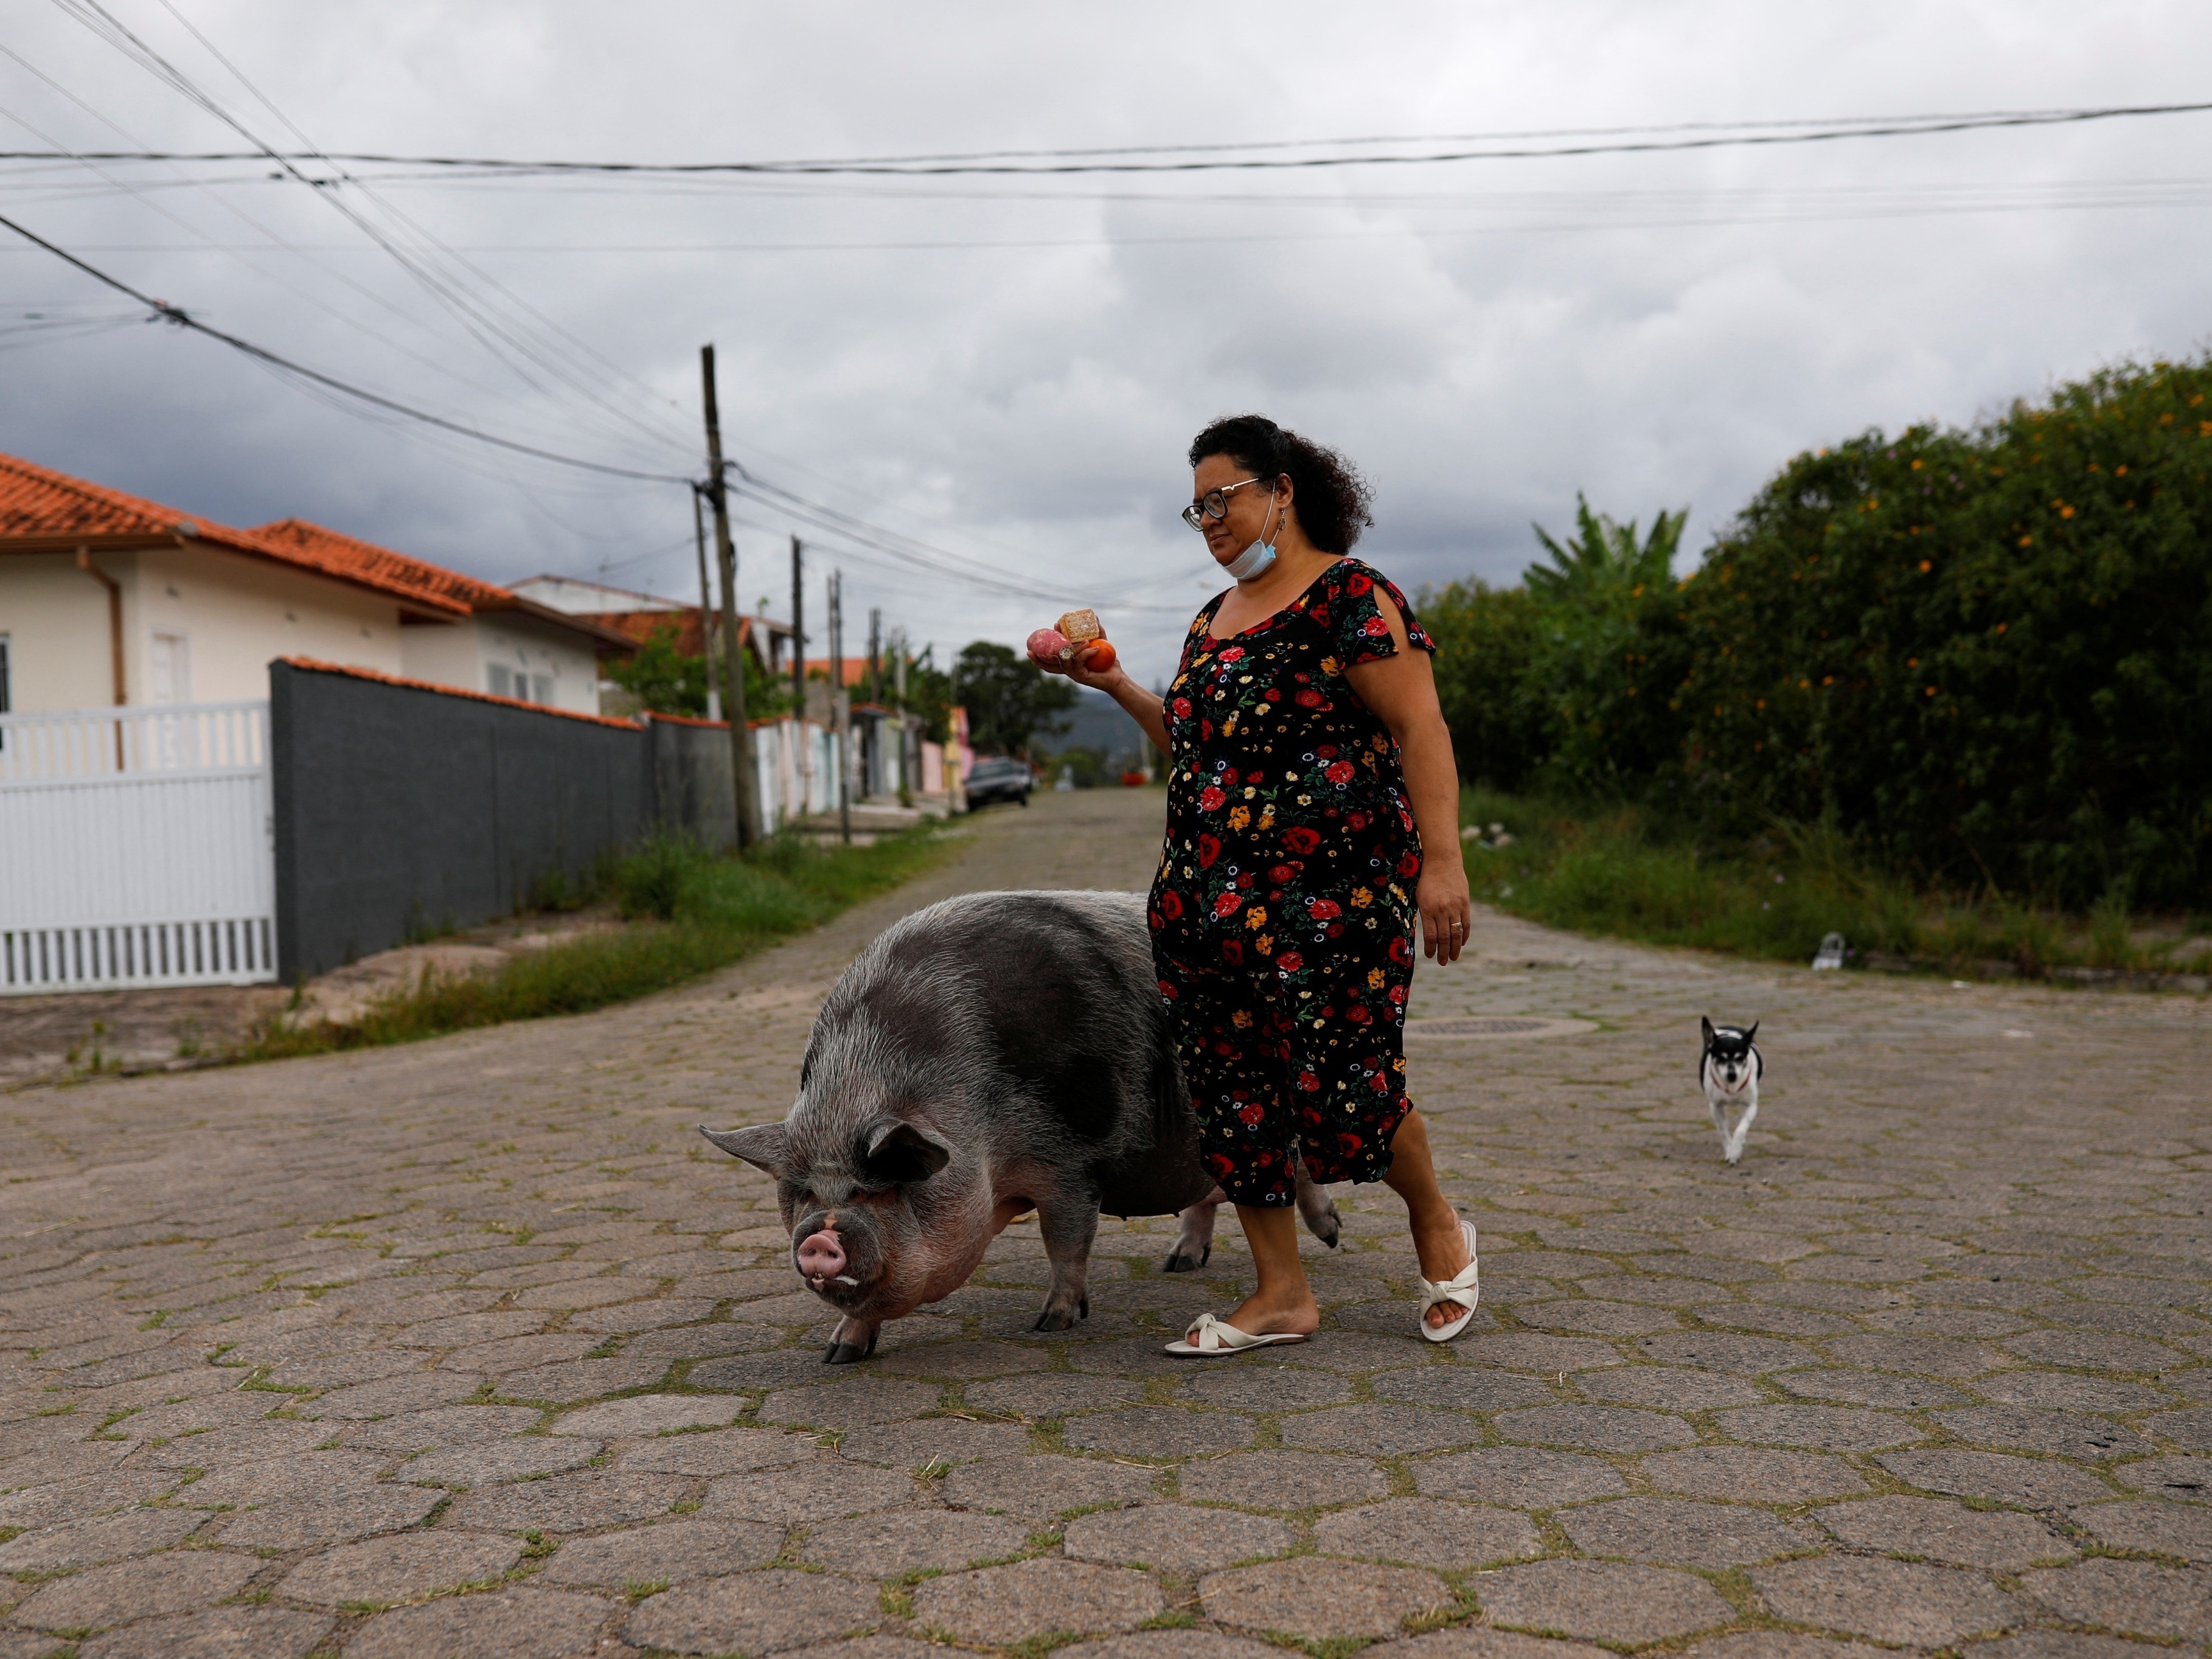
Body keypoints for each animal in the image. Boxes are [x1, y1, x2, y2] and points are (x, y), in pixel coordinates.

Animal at [698, 889, 1336, 1371]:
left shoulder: (1071, 1163)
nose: (818, 1238)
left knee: (1299, 1170)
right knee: (1206, 1195)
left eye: (875, 1189)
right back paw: (1178, 1263)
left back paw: (1331, 1237)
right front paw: (837, 1354)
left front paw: (1051, 1323)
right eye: (804, 1192)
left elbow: (1066, 1242)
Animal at [1699, 1013, 1769, 1167]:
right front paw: (1730, 1150)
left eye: (1740, 1058)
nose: (1732, 1075)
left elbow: (1741, 1130)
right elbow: (1724, 1131)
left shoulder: (1751, 1106)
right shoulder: (1716, 1107)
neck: (1730, 1087)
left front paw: (1736, 1152)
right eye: (1721, 1057)